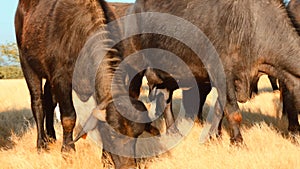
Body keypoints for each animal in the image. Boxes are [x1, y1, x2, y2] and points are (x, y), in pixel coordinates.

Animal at [126, 0, 300, 143]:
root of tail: (133, 8)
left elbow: (219, 110)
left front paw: (214, 136)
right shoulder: (222, 74)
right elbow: (234, 112)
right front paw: (238, 141)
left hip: (168, 75)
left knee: (164, 98)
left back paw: (173, 131)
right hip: (137, 67)